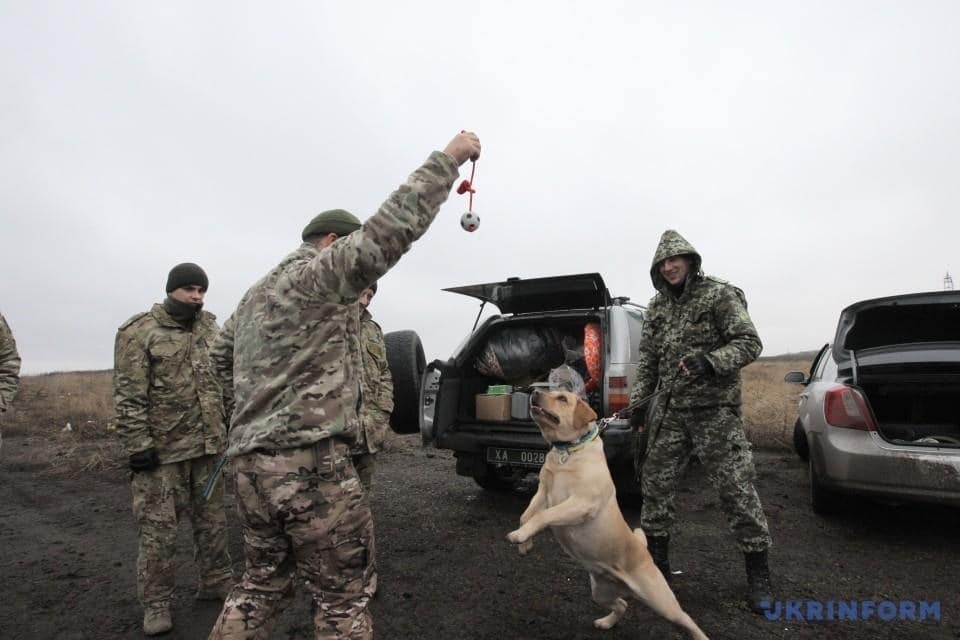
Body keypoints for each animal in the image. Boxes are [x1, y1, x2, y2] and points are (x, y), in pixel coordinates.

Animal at [510, 390, 704, 640]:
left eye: (562, 398)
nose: (534, 392)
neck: (567, 451)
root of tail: (643, 550)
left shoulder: (581, 503)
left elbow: (543, 516)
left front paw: (519, 537)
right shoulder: (543, 492)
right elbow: (527, 516)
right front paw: (525, 543)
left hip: (663, 602)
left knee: (686, 619)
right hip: (600, 592)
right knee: (622, 604)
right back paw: (606, 622)